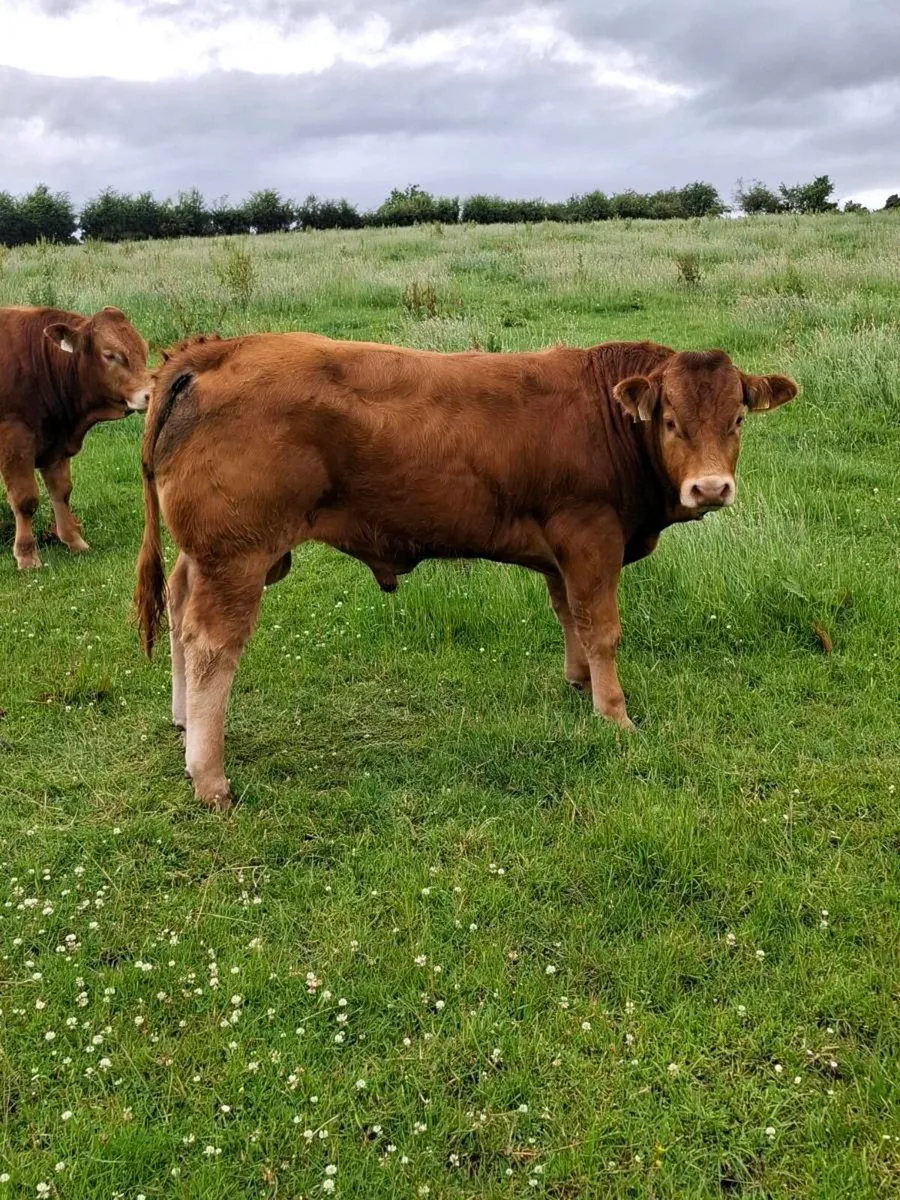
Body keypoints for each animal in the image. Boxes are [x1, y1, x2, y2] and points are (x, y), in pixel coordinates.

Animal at [0, 305, 151, 570]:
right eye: (110, 355)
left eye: (144, 349)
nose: (150, 394)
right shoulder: (15, 440)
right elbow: (25, 500)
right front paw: (26, 555)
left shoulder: (55, 446)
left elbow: (61, 492)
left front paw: (73, 539)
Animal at [134, 333, 797, 811]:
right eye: (670, 420)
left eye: (737, 419)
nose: (710, 487)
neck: (601, 416)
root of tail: (217, 351)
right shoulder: (591, 537)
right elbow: (602, 628)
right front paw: (614, 713)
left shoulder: (561, 552)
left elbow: (571, 617)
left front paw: (579, 681)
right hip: (238, 557)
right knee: (211, 646)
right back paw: (209, 777)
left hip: (206, 557)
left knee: (179, 612)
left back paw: (181, 721)